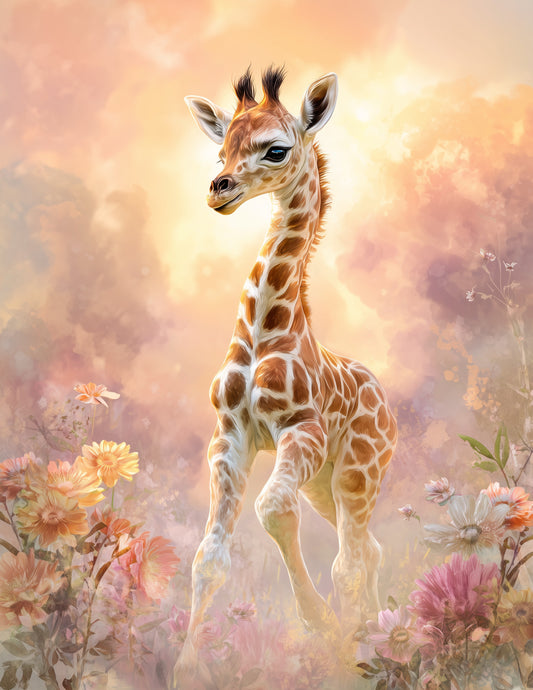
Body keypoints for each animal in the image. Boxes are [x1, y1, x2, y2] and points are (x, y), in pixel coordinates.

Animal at [174, 67, 397, 683]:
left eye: (276, 149)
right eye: (221, 148)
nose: (218, 189)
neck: (262, 333)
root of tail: (387, 403)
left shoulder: (302, 429)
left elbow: (272, 510)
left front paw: (321, 623)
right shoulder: (229, 437)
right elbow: (208, 558)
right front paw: (184, 668)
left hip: (359, 470)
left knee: (352, 557)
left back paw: (364, 646)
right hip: (327, 485)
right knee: (367, 549)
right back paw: (379, 638)